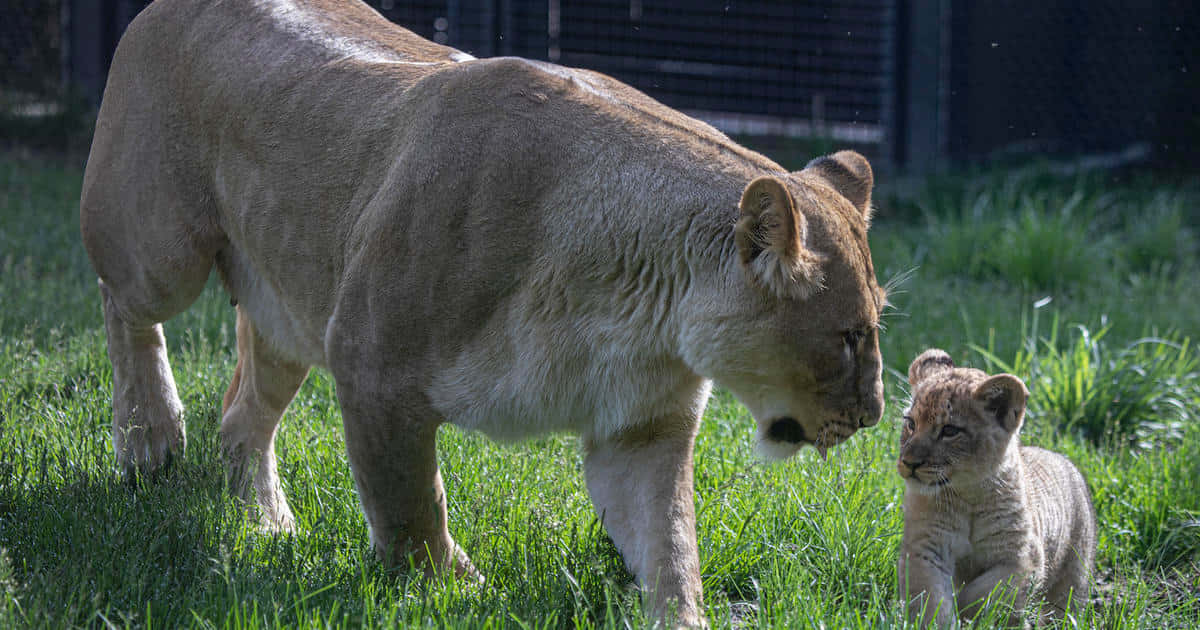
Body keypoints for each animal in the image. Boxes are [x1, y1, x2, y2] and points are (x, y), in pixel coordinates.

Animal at [79, 0, 886, 625]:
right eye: (848, 337)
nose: (876, 415)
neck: (641, 311)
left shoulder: (641, 430)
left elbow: (671, 548)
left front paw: (680, 618)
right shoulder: (371, 363)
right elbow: (411, 507)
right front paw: (449, 594)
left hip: (291, 308)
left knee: (242, 412)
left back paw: (268, 525)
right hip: (163, 250)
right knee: (124, 304)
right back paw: (149, 434)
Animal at [897, 350, 1097, 628]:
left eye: (950, 430)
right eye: (911, 423)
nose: (909, 462)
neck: (968, 494)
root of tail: (1064, 460)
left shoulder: (1022, 558)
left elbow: (983, 594)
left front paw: (972, 613)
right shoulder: (925, 548)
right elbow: (931, 598)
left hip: (1073, 576)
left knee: (1063, 607)